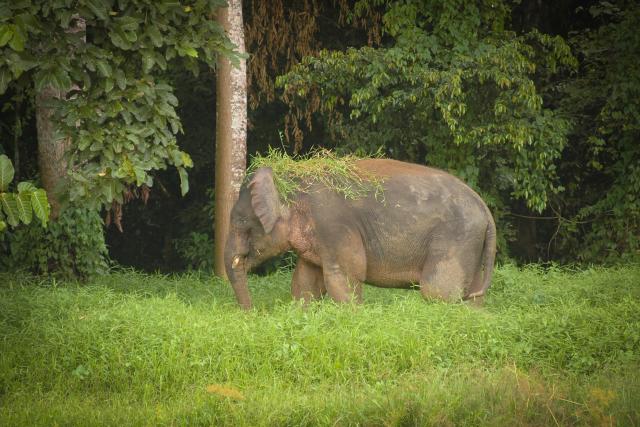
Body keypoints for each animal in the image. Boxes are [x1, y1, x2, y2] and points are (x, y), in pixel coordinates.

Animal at [224, 158, 496, 309]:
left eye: (240, 221)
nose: (253, 312)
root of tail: (484, 207)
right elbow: (305, 282)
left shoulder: (334, 226)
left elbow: (344, 276)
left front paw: (352, 314)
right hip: (471, 244)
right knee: (472, 295)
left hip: (455, 238)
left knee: (437, 290)